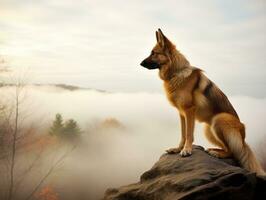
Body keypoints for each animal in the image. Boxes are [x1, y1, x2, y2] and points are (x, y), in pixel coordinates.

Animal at [140, 28, 264, 175]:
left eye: (154, 53)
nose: (140, 63)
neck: (176, 73)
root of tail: (244, 139)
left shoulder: (189, 111)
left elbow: (189, 133)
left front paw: (186, 150)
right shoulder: (182, 113)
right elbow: (183, 134)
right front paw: (178, 149)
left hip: (219, 120)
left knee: (232, 152)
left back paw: (217, 153)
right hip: (209, 129)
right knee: (228, 148)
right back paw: (214, 150)